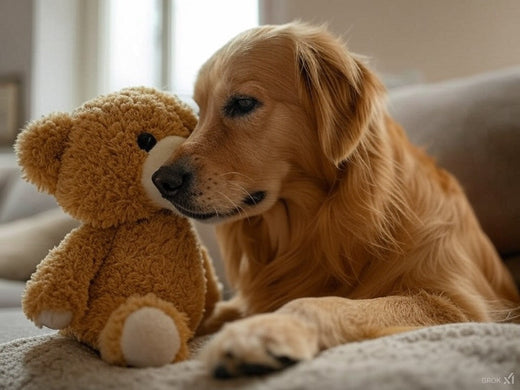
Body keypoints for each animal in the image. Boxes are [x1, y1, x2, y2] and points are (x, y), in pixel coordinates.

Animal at [151, 22, 520, 378]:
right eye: (200, 111)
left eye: (243, 103)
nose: (161, 181)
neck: (313, 223)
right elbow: (207, 311)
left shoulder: (455, 301)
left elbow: (323, 302)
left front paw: (260, 332)